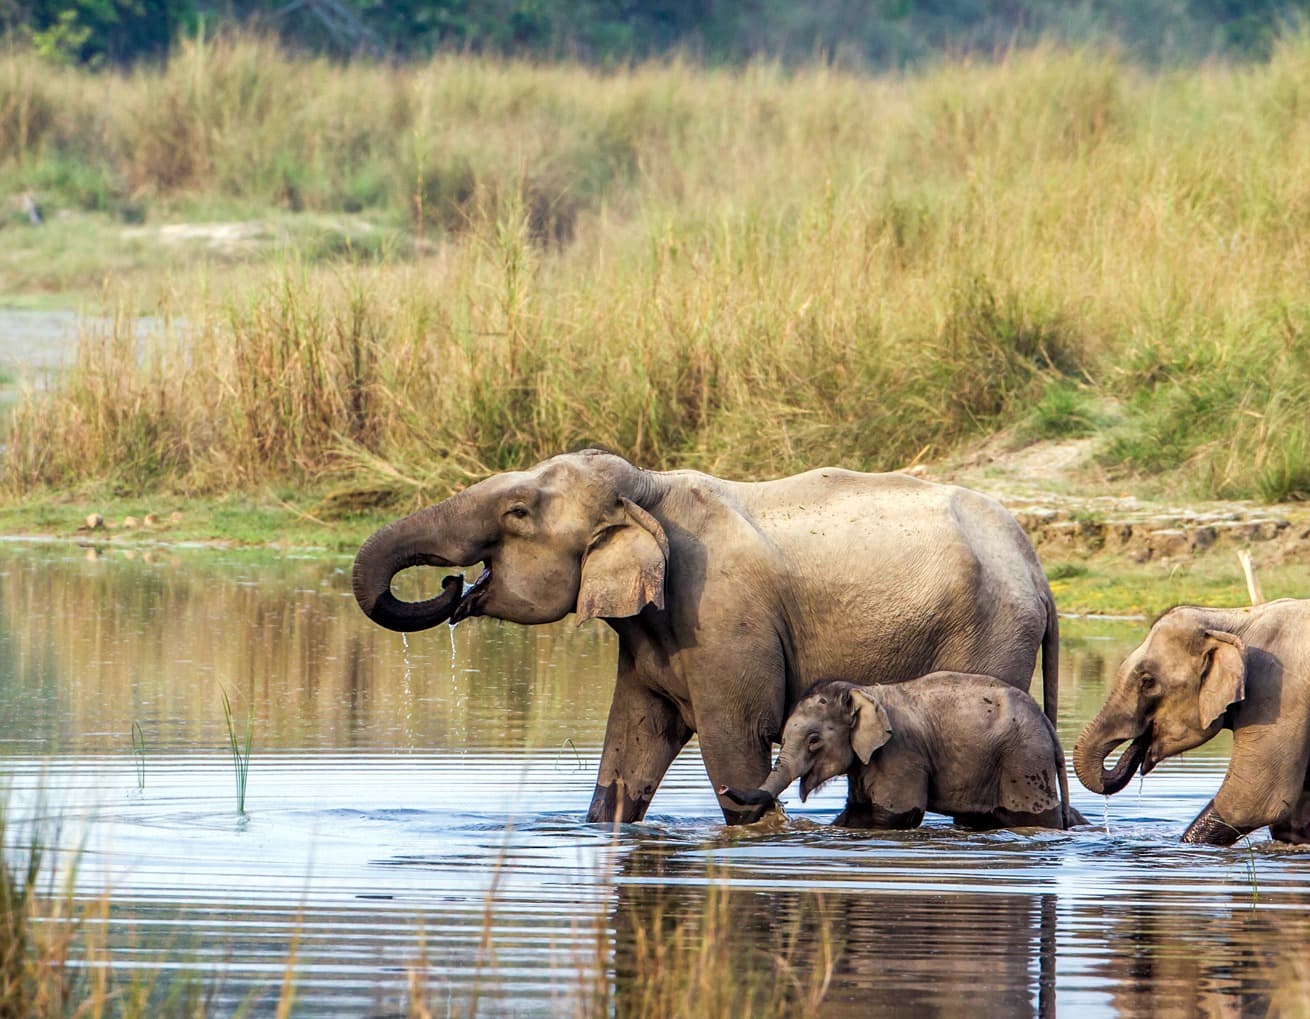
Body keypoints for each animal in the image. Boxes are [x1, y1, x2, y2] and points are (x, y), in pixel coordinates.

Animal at [723, 670, 1079, 827]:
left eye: (814, 741)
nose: (725, 787)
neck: (863, 690)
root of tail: (1047, 724)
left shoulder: (900, 756)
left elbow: (896, 815)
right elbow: (856, 812)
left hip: (1025, 762)